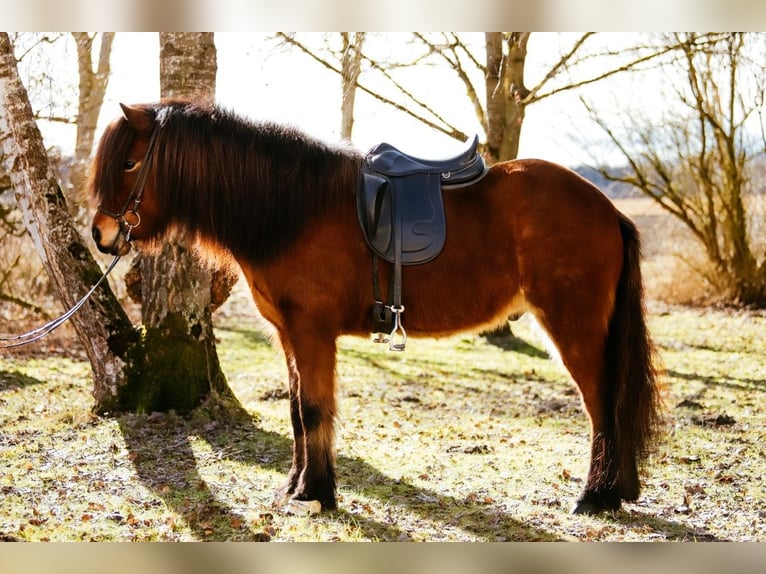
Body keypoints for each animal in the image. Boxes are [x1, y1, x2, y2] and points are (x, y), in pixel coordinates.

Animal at [88, 100, 662, 516]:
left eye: (131, 162)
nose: (100, 234)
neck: (292, 209)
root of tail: (605, 208)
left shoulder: (312, 333)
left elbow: (314, 409)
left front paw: (316, 493)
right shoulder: (290, 336)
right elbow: (297, 412)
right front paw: (296, 487)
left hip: (574, 329)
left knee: (602, 404)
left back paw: (595, 496)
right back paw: (620, 491)